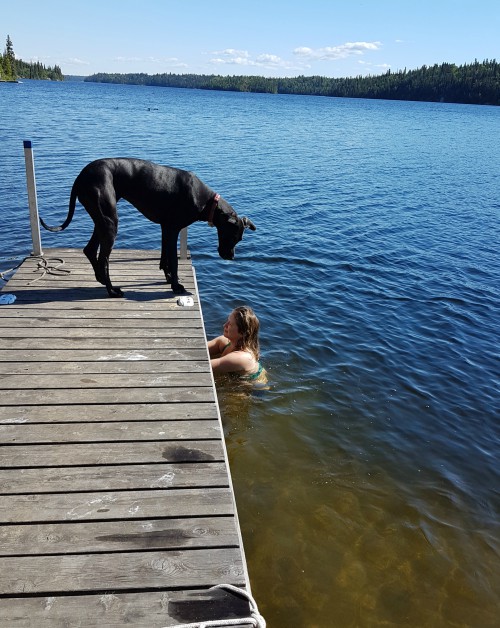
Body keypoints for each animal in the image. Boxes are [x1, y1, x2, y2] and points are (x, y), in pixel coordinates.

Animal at [39, 156, 256, 296]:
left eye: (240, 239)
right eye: (232, 236)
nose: (231, 256)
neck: (207, 201)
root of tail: (81, 176)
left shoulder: (165, 228)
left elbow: (164, 258)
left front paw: (168, 278)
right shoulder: (173, 229)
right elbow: (173, 260)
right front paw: (176, 286)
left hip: (101, 219)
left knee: (90, 250)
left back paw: (101, 279)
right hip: (109, 221)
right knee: (103, 258)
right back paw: (112, 290)